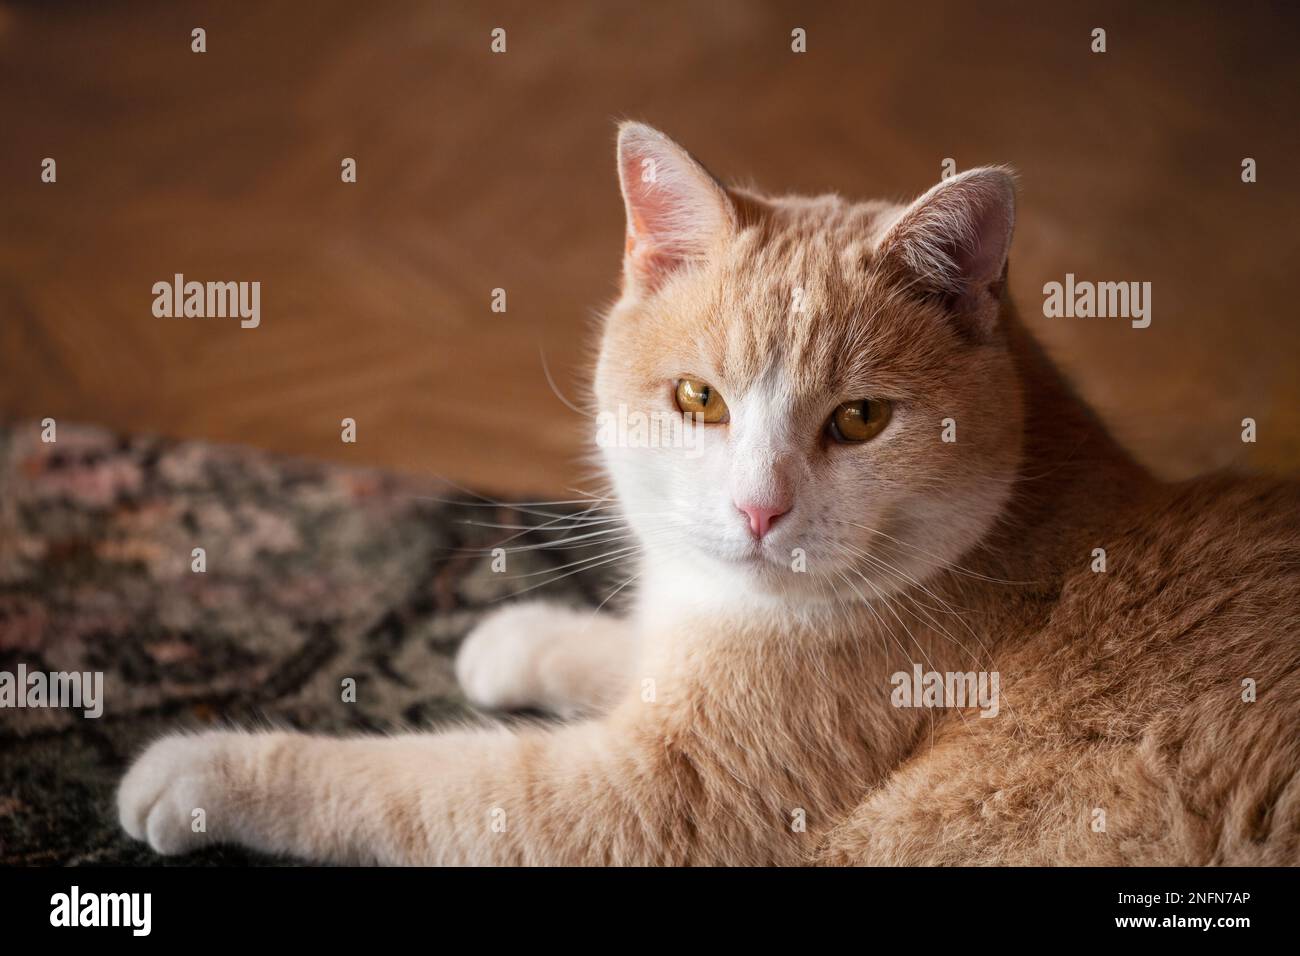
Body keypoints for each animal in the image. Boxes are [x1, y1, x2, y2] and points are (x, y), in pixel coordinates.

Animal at [116, 121, 1294, 868]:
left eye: (858, 419)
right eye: (698, 399)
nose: (758, 510)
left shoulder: (653, 803)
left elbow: (423, 785)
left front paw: (210, 769)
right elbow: (623, 651)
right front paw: (525, 635)